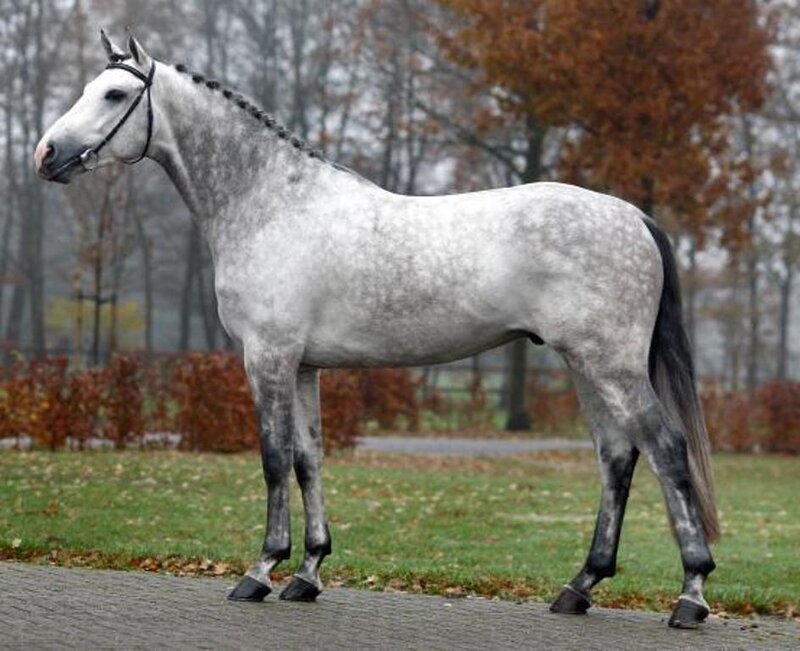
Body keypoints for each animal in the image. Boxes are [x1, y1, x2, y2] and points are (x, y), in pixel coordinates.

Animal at [35, 31, 719, 629]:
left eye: (114, 95)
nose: (46, 154)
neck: (270, 205)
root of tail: (633, 215)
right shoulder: (304, 366)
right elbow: (309, 459)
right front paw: (308, 572)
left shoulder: (268, 358)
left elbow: (273, 459)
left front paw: (261, 570)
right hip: (585, 364)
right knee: (617, 457)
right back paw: (580, 586)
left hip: (610, 364)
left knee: (666, 448)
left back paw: (690, 594)